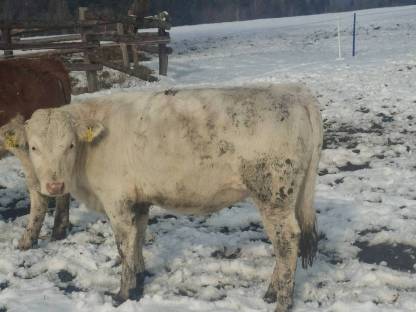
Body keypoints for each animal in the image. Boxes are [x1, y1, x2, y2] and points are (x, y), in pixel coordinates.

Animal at [1, 84, 324, 310]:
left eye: (69, 145)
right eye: (33, 147)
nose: (55, 185)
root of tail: (293, 91)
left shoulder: (116, 201)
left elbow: (123, 244)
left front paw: (122, 293)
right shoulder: (139, 200)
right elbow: (139, 238)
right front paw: (140, 278)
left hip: (272, 194)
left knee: (287, 240)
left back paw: (282, 301)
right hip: (289, 195)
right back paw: (271, 292)